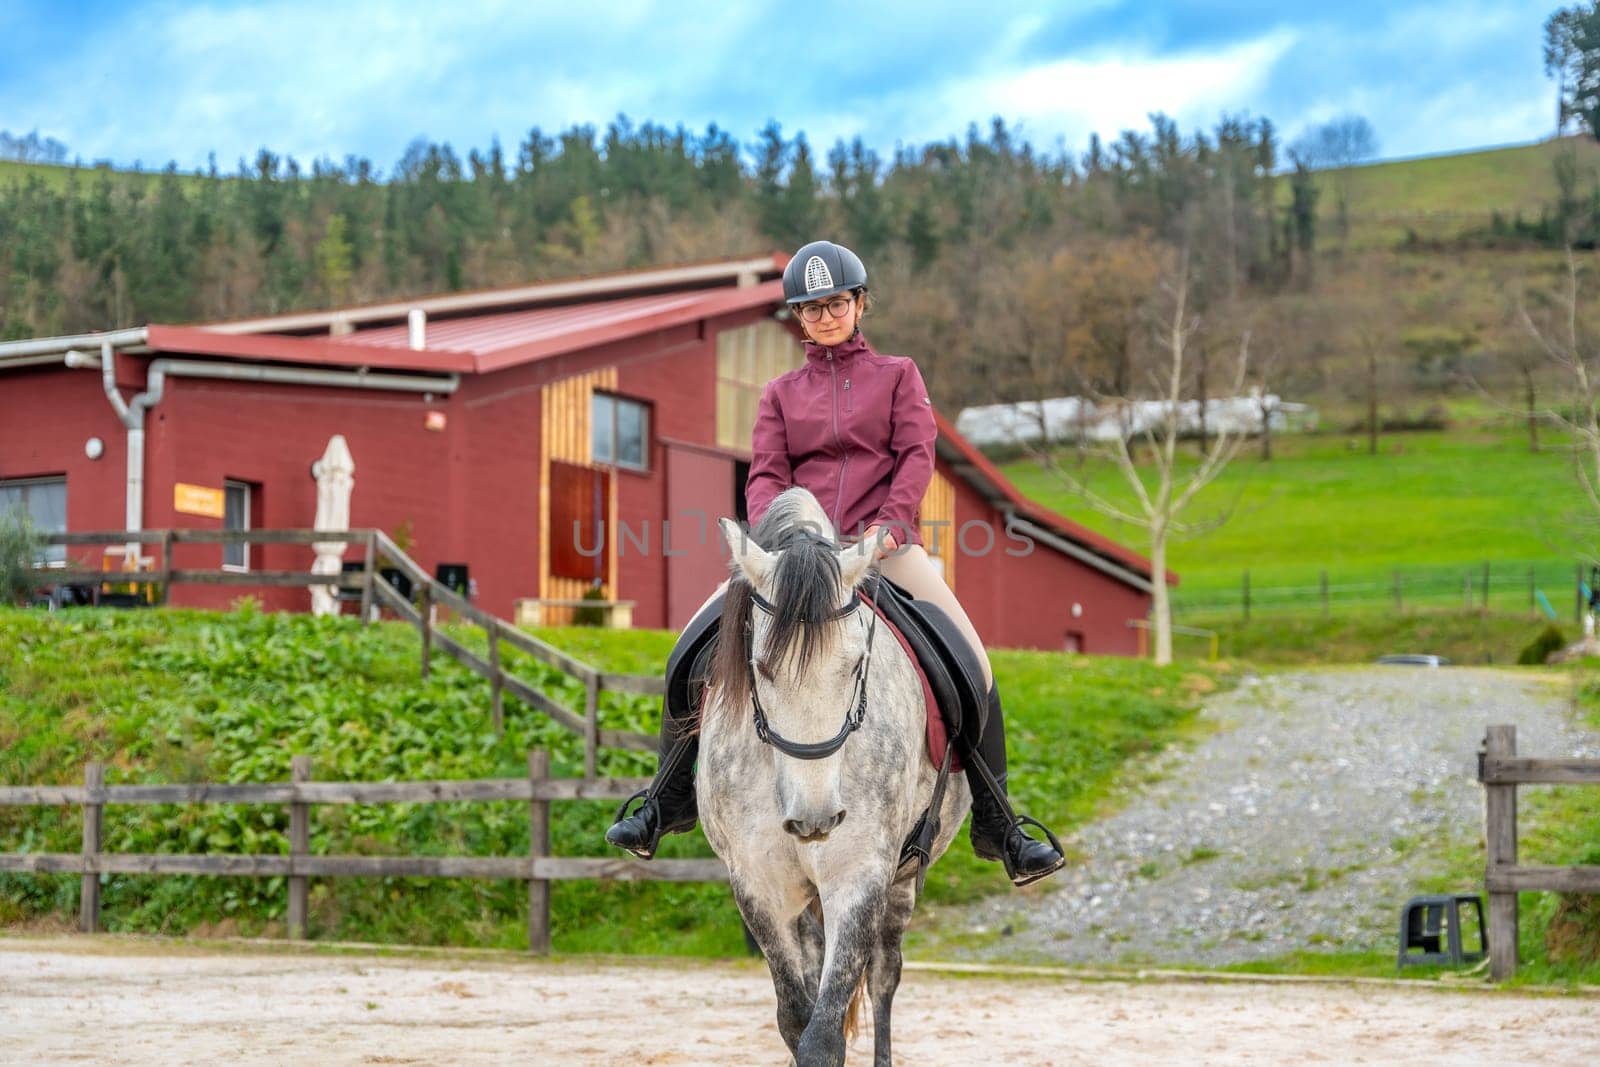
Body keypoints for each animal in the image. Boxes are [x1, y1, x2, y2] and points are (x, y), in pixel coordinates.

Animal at [704, 489, 972, 1067]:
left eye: (855, 665)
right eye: (761, 667)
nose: (816, 818)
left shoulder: (860, 874)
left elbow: (824, 1034)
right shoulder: (759, 883)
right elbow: (795, 1016)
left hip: (899, 883)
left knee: (883, 977)